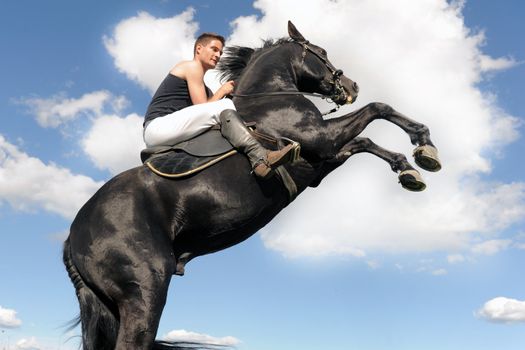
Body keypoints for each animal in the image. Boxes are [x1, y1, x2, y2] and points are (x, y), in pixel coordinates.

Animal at [62, 21, 438, 350]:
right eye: (321, 52)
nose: (352, 85)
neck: (269, 95)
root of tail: (73, 237)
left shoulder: (323, 157)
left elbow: (366, 141)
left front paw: (409, 169)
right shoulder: (321, 138)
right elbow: (378, 109)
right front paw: (424, 145)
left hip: (109, 304)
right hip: (145, 289)